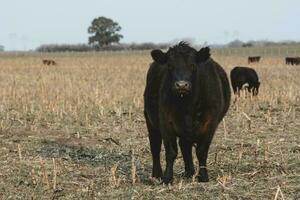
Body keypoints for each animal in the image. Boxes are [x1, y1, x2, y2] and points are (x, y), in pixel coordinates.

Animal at [144, 42, 231, 184]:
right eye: (170, 66)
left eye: (193, 65)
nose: (181, 85)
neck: (187, 106)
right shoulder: (165, 123)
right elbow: (171, 152)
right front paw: (167, 178)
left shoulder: (210, 124)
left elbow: (201, 151)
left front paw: (203, 176)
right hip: (150, 121)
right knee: (155, 146)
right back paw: (157, 174)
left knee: (185, 146)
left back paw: (190, 172)